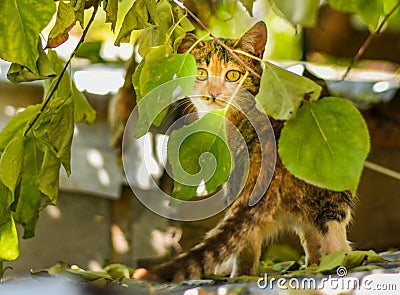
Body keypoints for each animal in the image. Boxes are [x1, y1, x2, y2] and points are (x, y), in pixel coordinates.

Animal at [141, 21, 354, 284]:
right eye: (201, 73)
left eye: (233, 75)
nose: (213, 93)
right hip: (326, 188)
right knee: (321, 230)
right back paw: (320, 264)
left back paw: (239, 275)